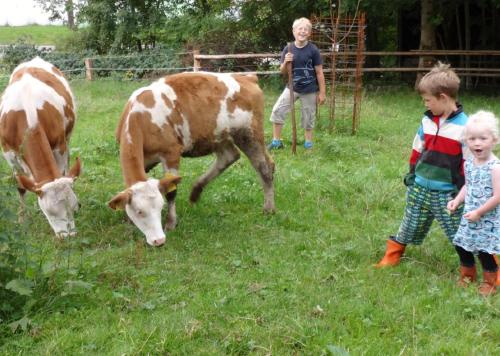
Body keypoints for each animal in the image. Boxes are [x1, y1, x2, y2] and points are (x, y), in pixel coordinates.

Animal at [0, 57, 81, 238]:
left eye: (75, 206)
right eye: (50, 212)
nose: (68, 236)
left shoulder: (59, 146)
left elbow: (61, 173)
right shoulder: (10, 154)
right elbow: (21, 186)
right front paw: (21, 220)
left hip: (68, 137)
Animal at [107, 71, 276, 246]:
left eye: (160, 207)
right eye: (140, 212)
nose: (159, 240)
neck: (141, 117)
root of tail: (247, 77)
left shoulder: (171, 153)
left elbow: (172, 191)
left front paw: (171, 223)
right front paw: (128, 220)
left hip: (248, 133)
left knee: (264, 167)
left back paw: (269, 208)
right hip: (218, 135)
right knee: (230, 156)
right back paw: (196, 191)